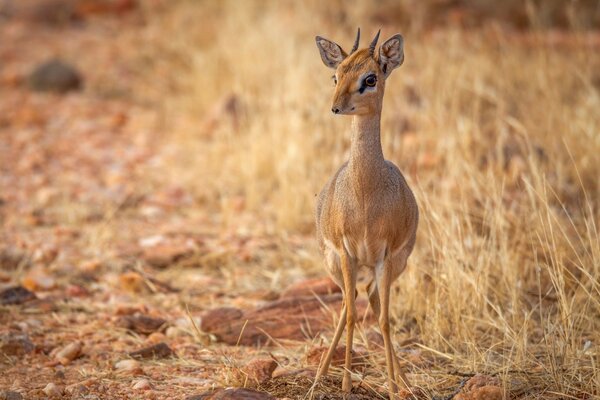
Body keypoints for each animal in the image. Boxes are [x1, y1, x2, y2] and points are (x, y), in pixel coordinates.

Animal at [314, 28, 418, 396]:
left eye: (370, 78)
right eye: (336, 75)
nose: (335, 107)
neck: (364, 195)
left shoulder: (385, 255)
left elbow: (385, 320)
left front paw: (392, 388)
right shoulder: (347, 252)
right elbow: (351, 314)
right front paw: (345, 384)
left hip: (388, 266)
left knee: (371, 300)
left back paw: (402, 381)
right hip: (337, 263)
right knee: (350, 302)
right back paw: (320, 375)